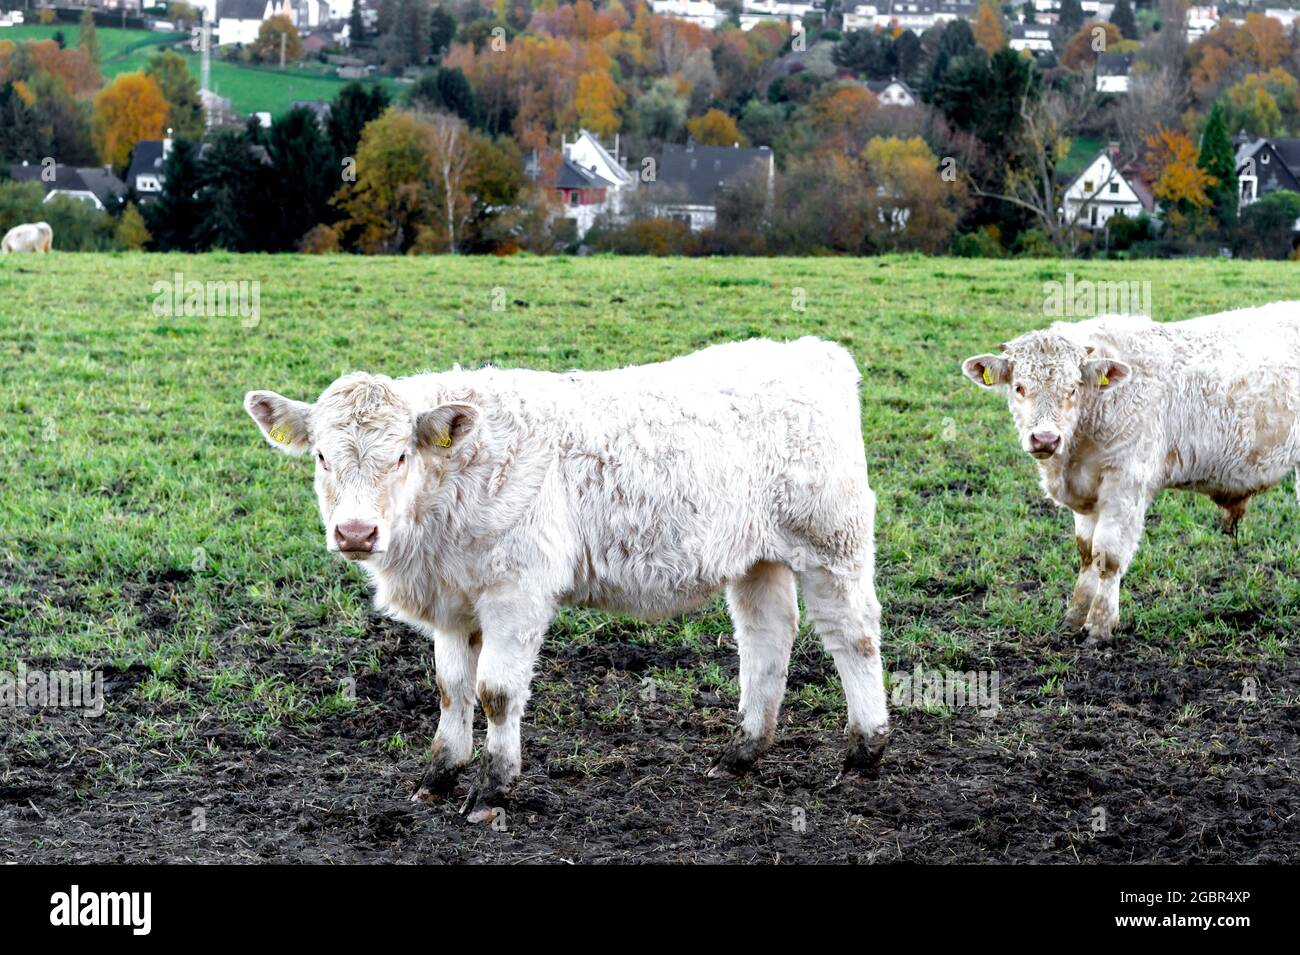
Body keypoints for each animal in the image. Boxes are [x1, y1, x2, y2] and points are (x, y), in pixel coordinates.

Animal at [246, 337, 889, 821]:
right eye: (322, 456)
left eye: (401, 456)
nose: (355, 532)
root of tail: (809, 351)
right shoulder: (454, 601)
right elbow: (451, 688)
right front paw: (439, 776)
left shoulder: (516, 593)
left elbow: (496, 693)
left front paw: (493, 790)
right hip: (757, 558)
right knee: (767, 636)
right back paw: (741, 753)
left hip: (832, 540)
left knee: (852, 635)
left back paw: (865, 751)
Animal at [961, 304, 1300, 649]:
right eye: (1019, 387)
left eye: (1073, 388)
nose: (1045, 439)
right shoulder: (1087, 492)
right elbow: (1086, 552)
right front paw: (1074, 618)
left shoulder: (1125, 483)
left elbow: (1108, 556)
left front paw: (1099, 626)